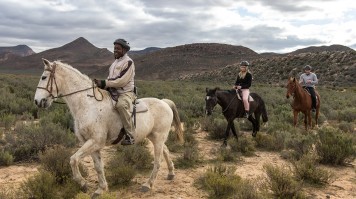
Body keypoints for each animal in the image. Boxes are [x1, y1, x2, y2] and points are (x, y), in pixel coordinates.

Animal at [33, 58, 184, 198]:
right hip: (154, 137)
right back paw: (171, 173)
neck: (88, 105)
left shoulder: (95, 142)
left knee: (157, 161)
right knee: (166, 151)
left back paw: (148, 184)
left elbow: (73, 159)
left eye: (44, 77)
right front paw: (101, 189)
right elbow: (98, 167)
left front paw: (83, 184)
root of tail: (164, 102)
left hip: (158, 138)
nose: (37, 101)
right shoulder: (91, 144)